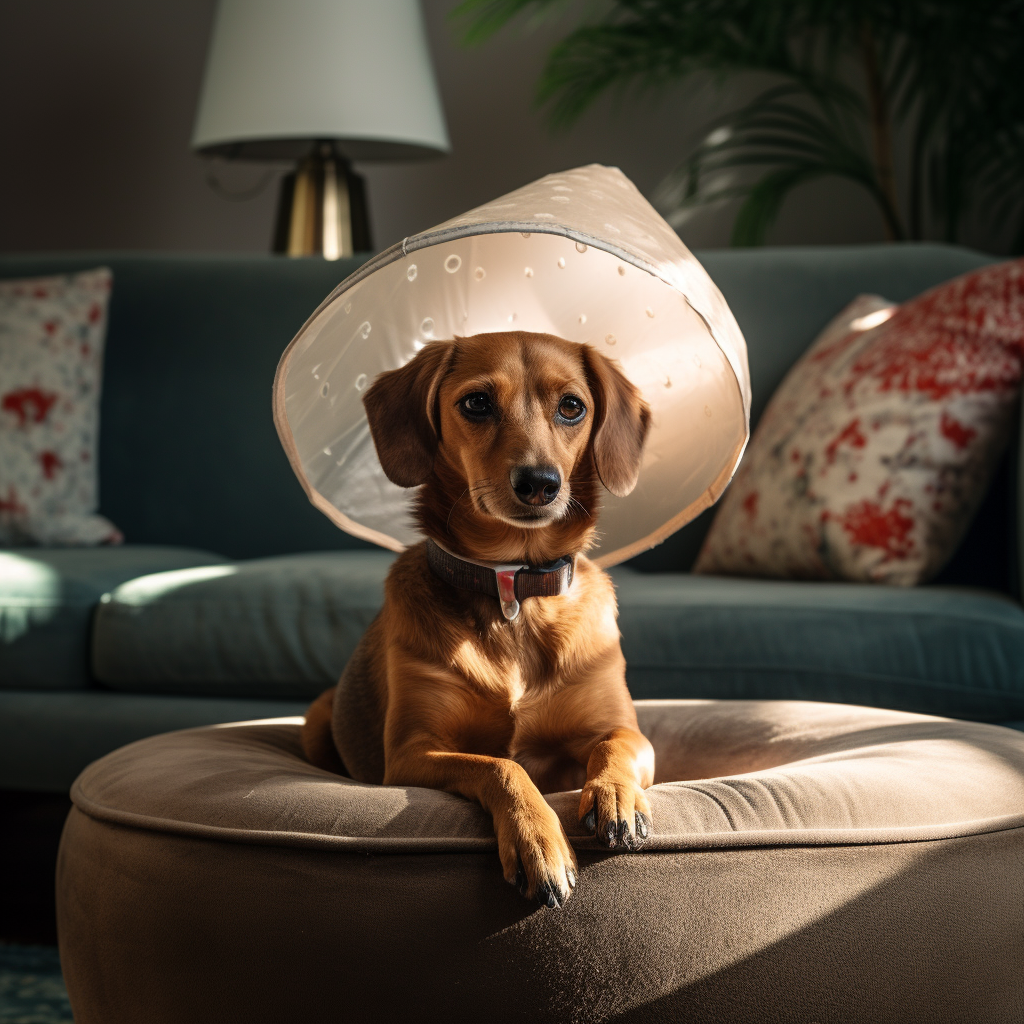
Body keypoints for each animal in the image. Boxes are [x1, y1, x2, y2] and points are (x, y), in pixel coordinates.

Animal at [303, 331, 655, 909]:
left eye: (572, 406)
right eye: (476, 403)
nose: (540, 483)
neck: (512, 585)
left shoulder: (621, 728)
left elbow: (616, 744)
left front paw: (616, 796)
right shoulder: (412, 752)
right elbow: (501, 765)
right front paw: (539, 841)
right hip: (317, 717)